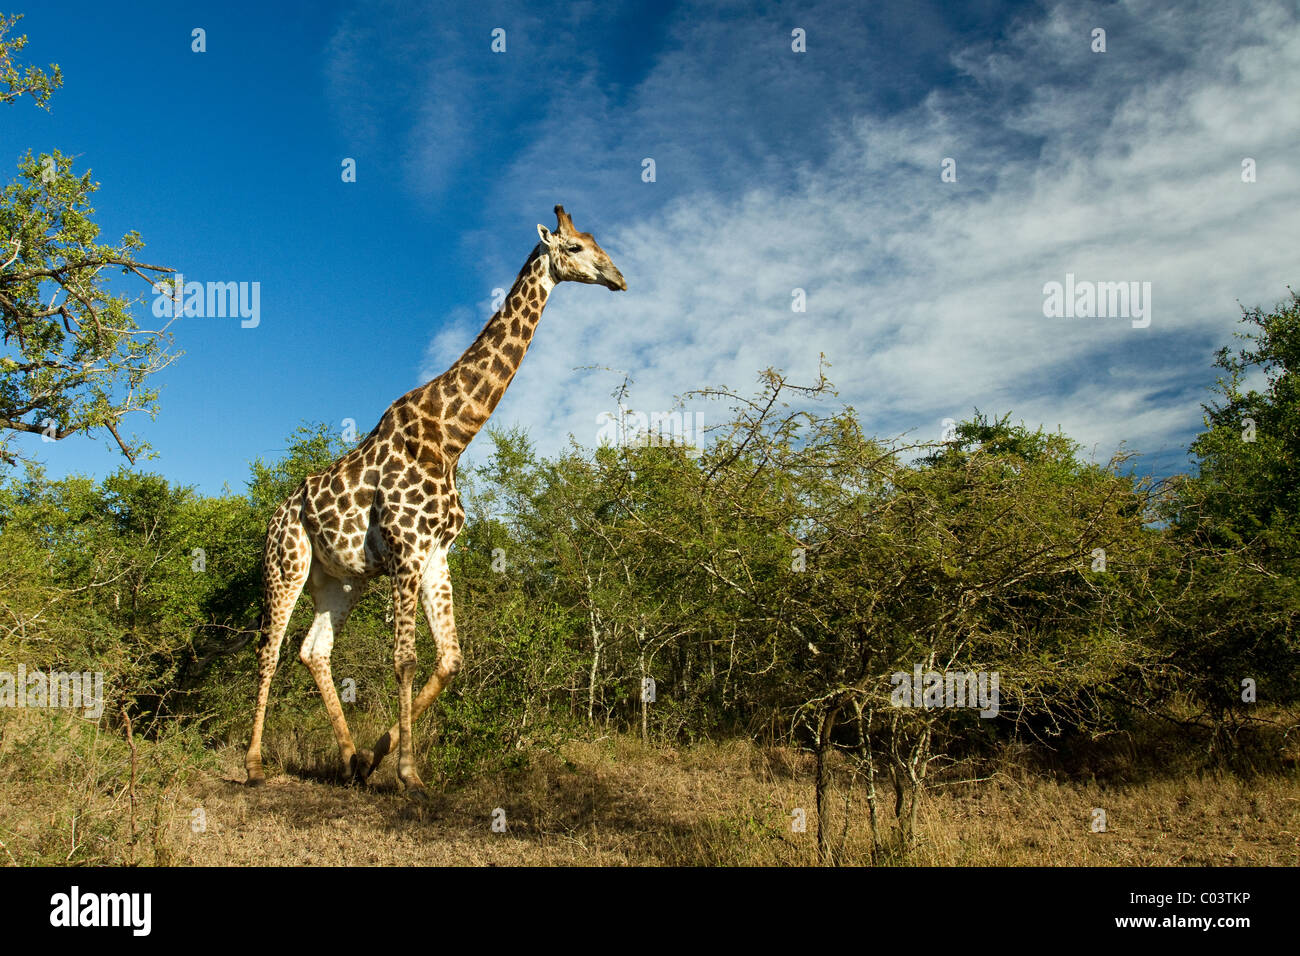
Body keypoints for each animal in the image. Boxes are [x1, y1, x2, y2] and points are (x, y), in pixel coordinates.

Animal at [244, 205, 626, 793]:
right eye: (576, 247)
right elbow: (404, 659)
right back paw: (253, 764)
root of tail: (277, 514)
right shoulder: (406, 549)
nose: (619, 278)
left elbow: (450, 659)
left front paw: (377, 757)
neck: (450, 438)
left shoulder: (435, 553)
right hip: (286, 564)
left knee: (313, 651)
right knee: (269, 652)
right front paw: (407, 773)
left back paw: (350, 760)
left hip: (340, 580)